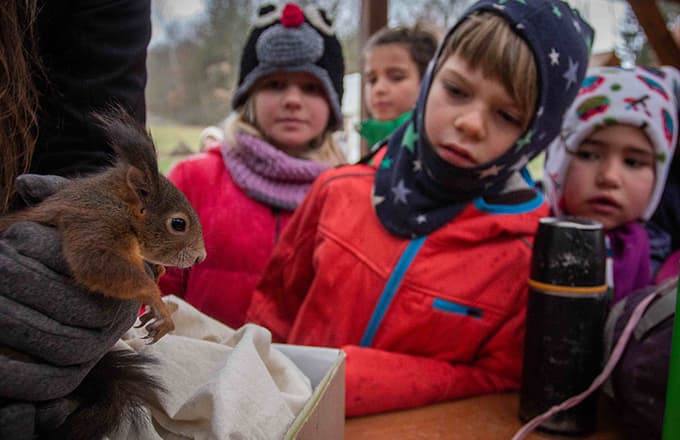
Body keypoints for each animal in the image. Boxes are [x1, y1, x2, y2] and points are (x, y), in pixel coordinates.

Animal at [0, 107, 206, 344]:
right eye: (178, 224)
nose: (200, 257)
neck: (122, 207)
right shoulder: (96, 222)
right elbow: (97, 262)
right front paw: (159, 305)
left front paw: (156, 269)